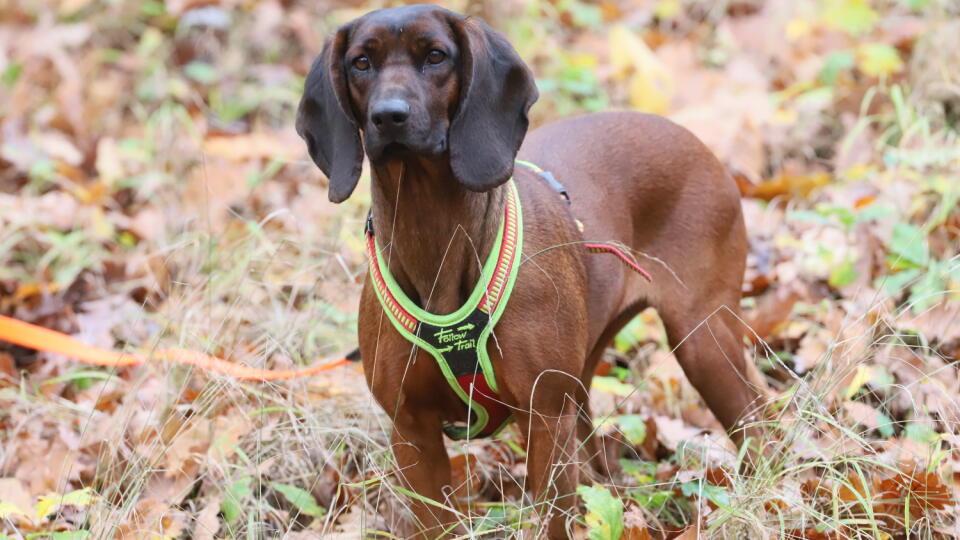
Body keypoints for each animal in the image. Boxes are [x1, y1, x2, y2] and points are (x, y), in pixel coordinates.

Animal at [298, 5, 764, 540]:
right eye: (361, 62)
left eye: (435, 55)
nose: (388, 115)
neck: (435, 237)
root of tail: (697, 142)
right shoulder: (412, 432)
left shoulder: (544, 417)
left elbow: (552, 518)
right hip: (588, 375)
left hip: (702, 340)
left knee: (760, 424)